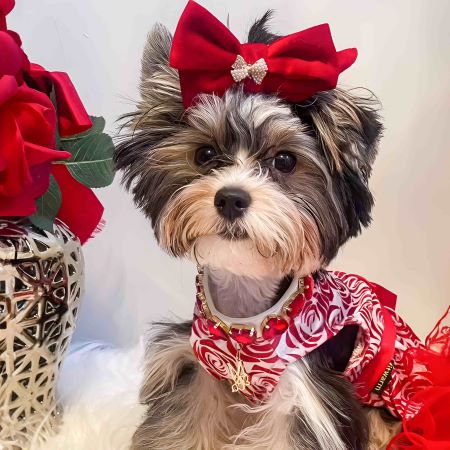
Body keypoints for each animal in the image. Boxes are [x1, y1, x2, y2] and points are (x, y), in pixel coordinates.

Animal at [114, 4, 402, 450]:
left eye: (285, 161)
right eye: (205, 154)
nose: (231, 198)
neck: (247, 319)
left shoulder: (307, 393)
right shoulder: (202, 368)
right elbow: (183, 424)